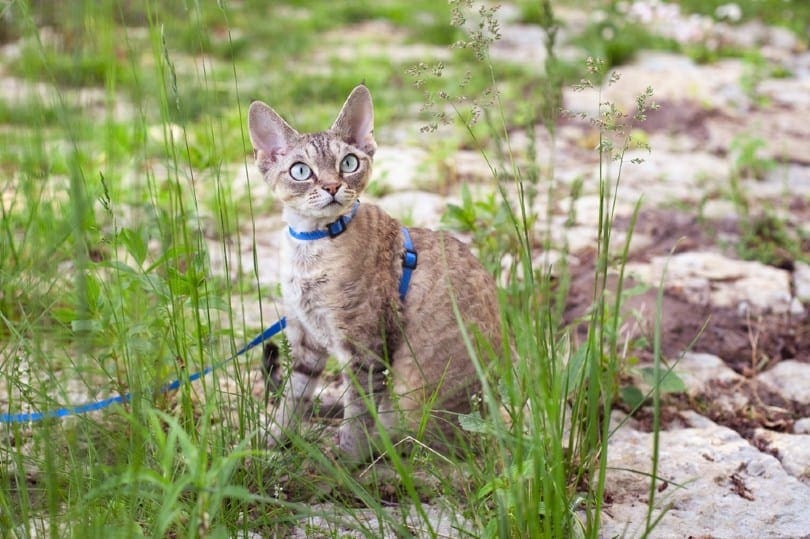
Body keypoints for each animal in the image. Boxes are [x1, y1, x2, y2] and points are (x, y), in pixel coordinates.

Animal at [246, 84, 498, 464]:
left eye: (348, 163)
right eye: (301, 171)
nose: (332, 187)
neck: (309, 249)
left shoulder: (367, 348)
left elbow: (357, 411)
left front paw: (345, 462)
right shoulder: (306, 341)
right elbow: (293, 398)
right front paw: (272, 440)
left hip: (416, 396)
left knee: (413, 436)